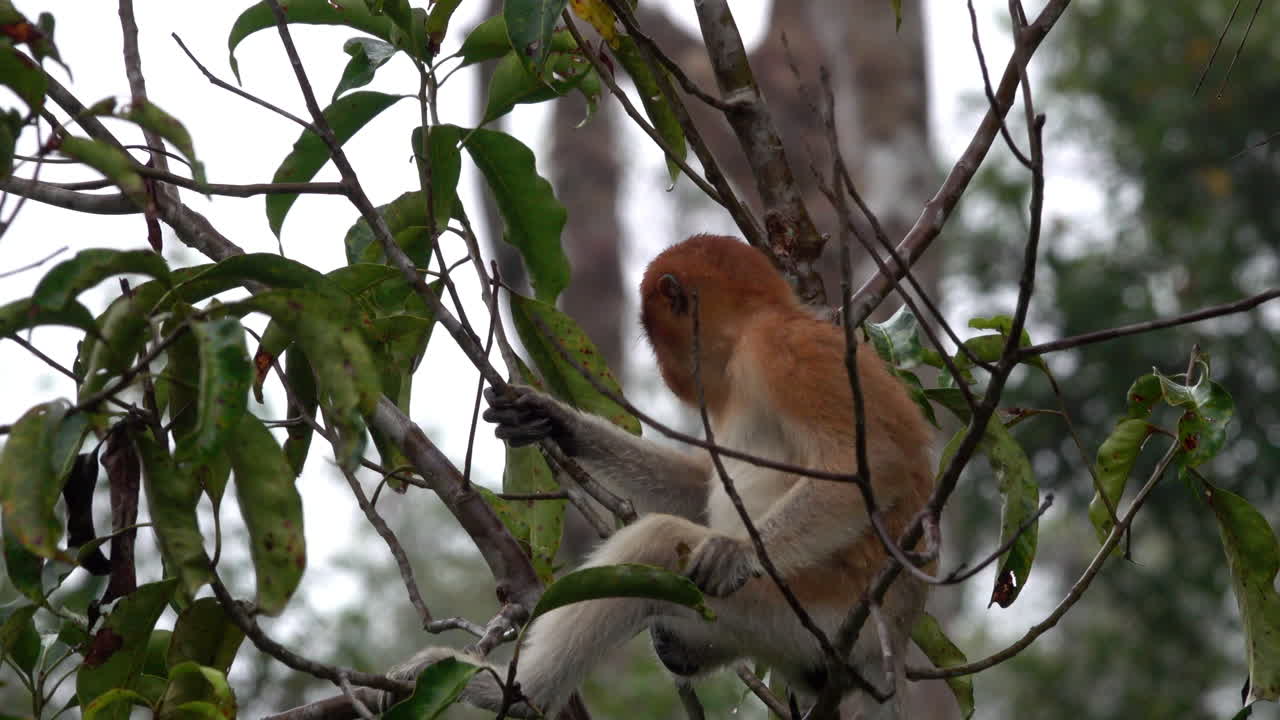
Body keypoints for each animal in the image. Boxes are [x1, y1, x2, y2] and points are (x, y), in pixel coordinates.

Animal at [411, 234, 934, 717]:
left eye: (653, 330)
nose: (666, 372)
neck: (752, 331)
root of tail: (890, 644)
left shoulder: (786, 351)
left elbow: (876, 464)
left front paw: (736, 550)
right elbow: (698, 483)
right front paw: (558, 422)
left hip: (806, 610)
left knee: (658, 542)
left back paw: (519, 695)